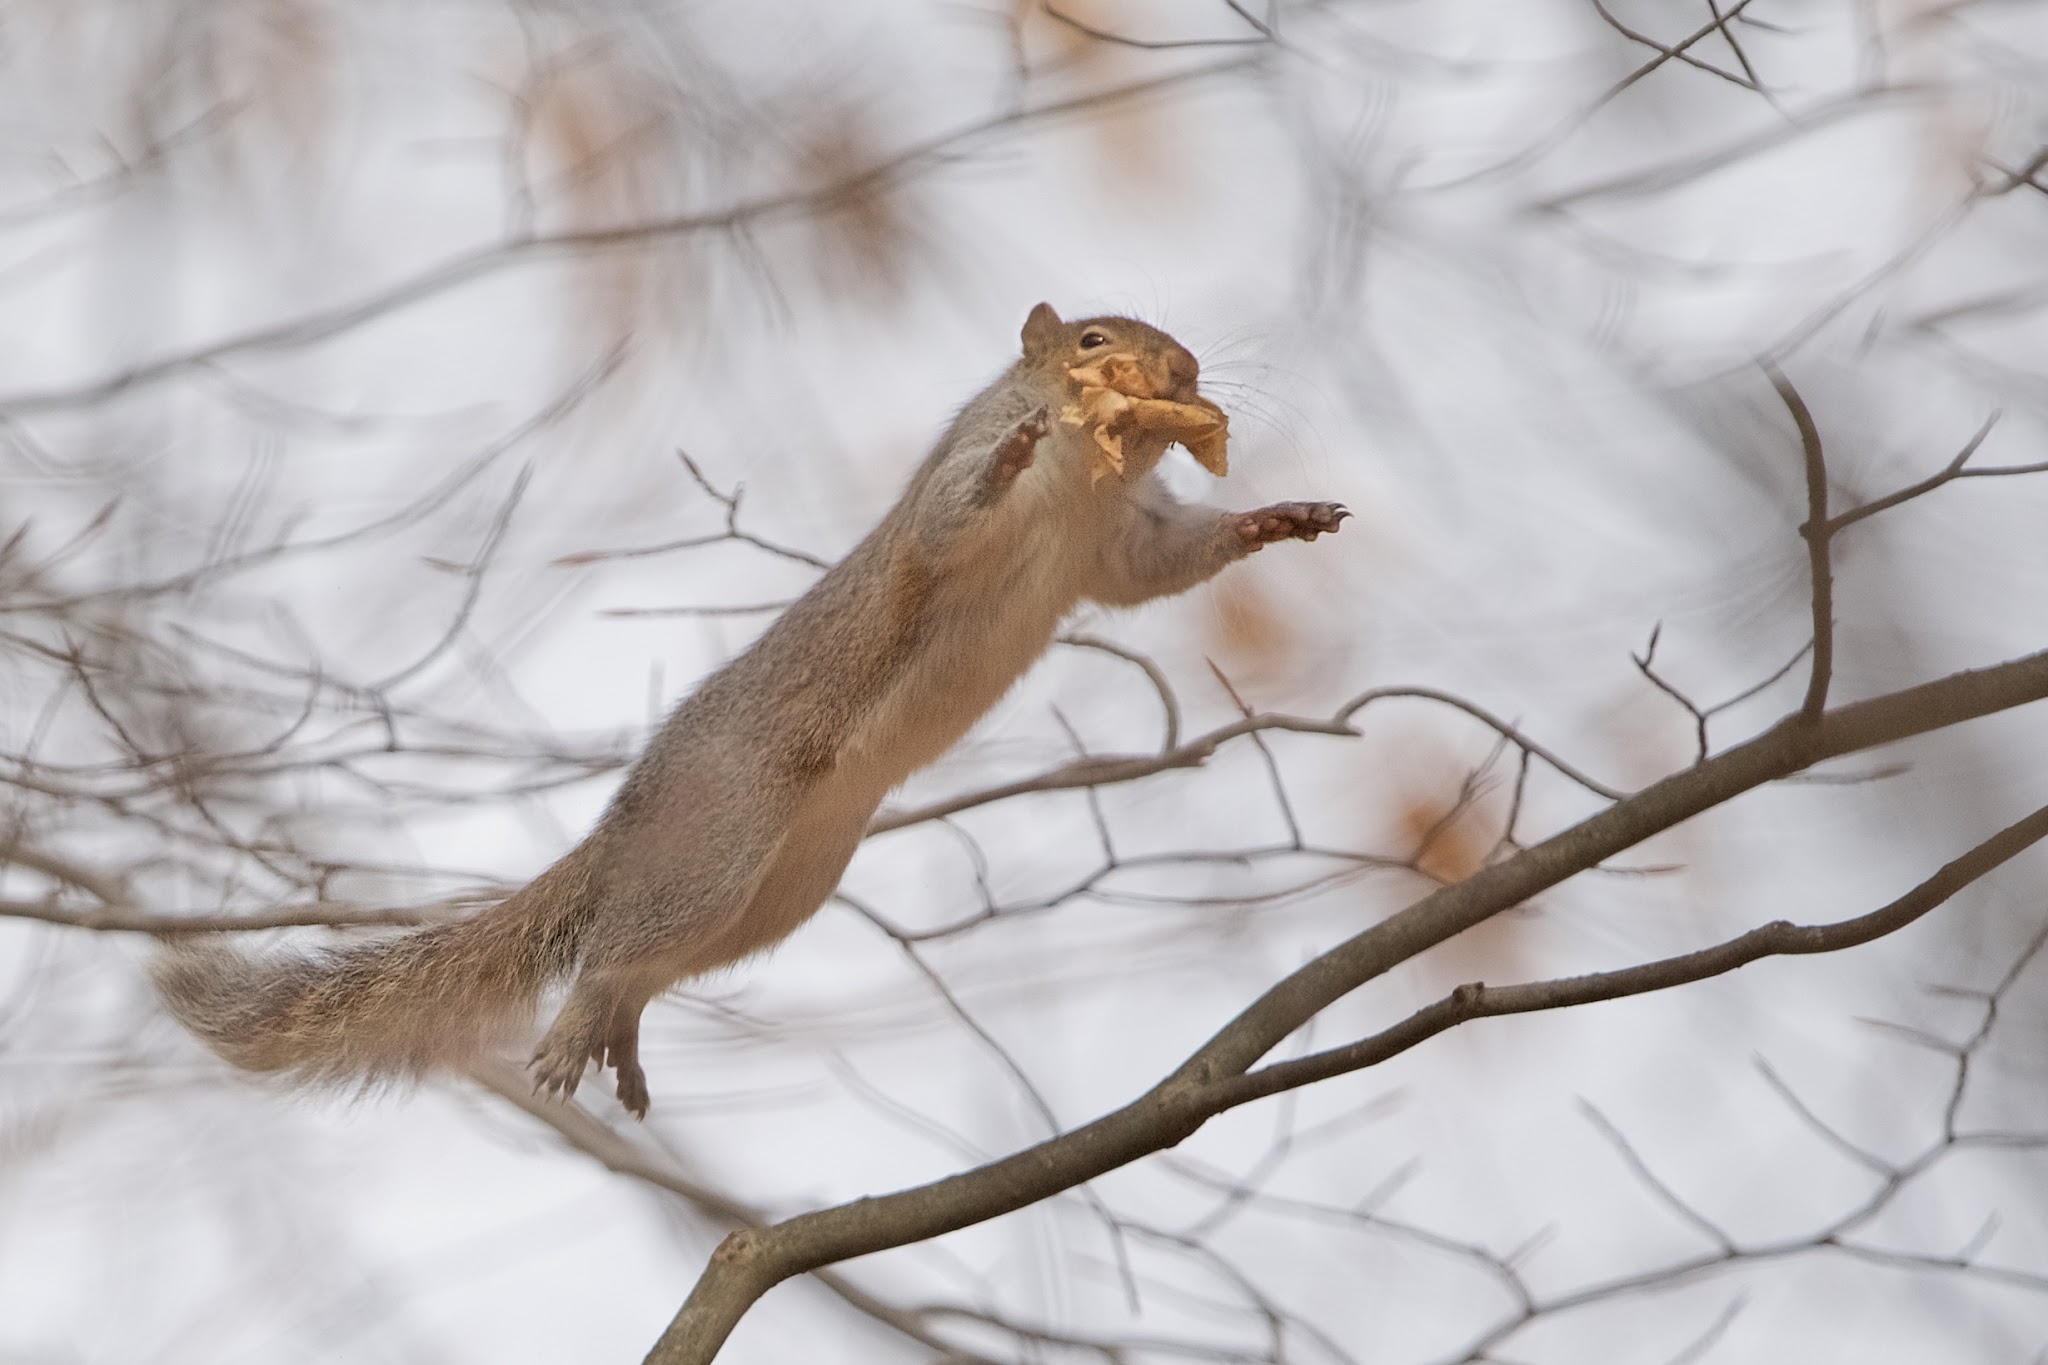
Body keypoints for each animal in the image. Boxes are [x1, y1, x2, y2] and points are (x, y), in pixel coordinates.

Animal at [153, 303, 1348, 1118]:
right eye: (1094, 339)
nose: (1185, 371)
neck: (1090, 479)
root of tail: (626, 820)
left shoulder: (1120, 544)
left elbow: (1164, 568)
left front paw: (1276, 519)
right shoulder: (950, 515)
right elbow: (947, 527)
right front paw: (1011, 457)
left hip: (780, 893)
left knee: (650, 965)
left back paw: (622, 1041)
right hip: (716, 844)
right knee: (615, 949)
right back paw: (577, 1027)